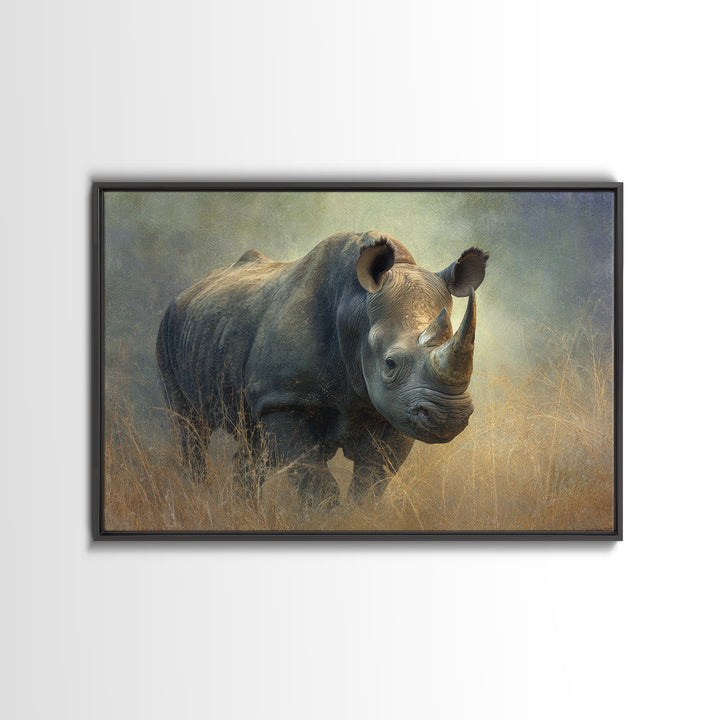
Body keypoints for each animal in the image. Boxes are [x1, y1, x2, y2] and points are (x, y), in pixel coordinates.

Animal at [156, 231, 488, 507]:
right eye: (390, 363)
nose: (449, 417)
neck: (355, 310)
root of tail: (189, 290)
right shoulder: (285, 400)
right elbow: (316, 485)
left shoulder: (397, 409)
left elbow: (371, 482)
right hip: (167, 326)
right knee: (190, 428)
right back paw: (197, 497)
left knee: (252, 443)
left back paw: (241, 508)